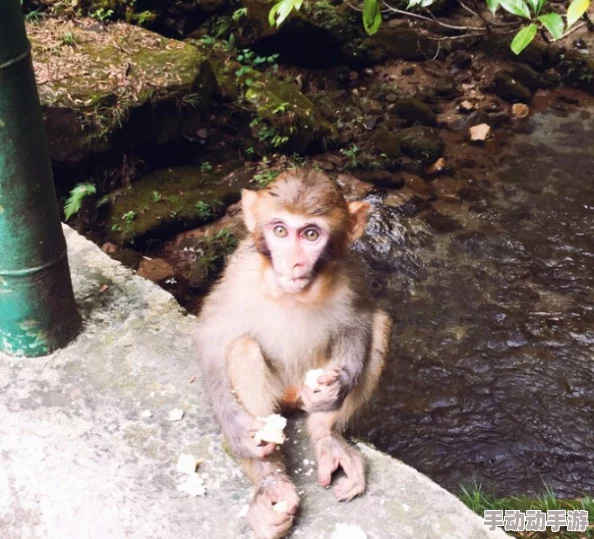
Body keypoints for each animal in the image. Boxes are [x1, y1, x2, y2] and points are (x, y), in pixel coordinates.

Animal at [192, 169, 390, 539]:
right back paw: (272, 483)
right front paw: (240, 432)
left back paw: (327, 437)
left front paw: (337, 386)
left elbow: (360, 320)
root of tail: (291, 397)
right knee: (241, 347)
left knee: (381, 323)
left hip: (301, 392)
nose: (293, 262)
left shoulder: (350, 269)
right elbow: (214, 335)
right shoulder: (239, 270)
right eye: (280, 231)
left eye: (311, 234)